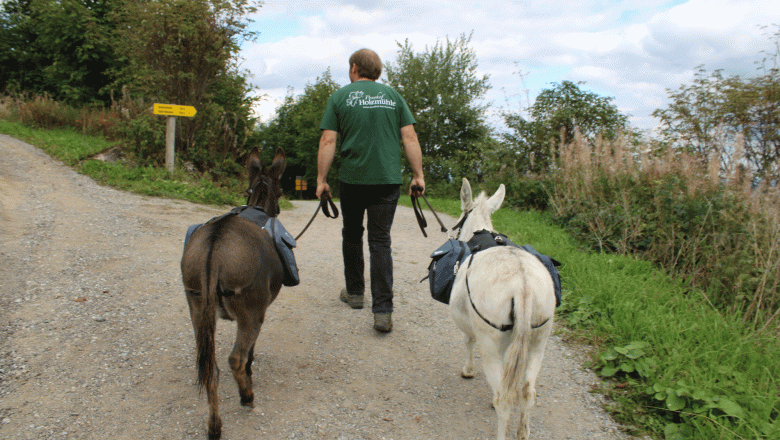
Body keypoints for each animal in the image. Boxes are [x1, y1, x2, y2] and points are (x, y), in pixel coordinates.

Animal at [180, 148, 286, 439]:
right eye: (282, 190)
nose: (279, 209)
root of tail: (214, 248)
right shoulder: (258, 314)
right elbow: (250, 351)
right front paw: (250, 372)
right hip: (250, 314)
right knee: (234, 360)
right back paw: (246, 396)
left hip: (197, 308)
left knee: (211, 369)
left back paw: (214, 425)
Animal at [448, 178, 556, 440]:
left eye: (461, 215)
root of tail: (523, 286)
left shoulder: (473, 327)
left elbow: (468, 341)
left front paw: (468, 371)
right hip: (539, 339)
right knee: (527, 391)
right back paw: (523, 432)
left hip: (489, 341)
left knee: (504, 399)